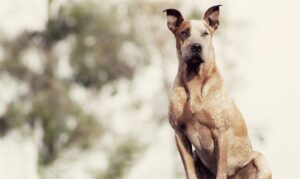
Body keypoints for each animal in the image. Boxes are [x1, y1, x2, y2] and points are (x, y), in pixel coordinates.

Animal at [164, 4, 272, 178]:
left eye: (205, 33)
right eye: (184, 32)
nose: (196, 47)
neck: (195, 81)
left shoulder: (220, 131)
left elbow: (221, 168)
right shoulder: (179, 134)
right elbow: (189, 170)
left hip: (260, 160)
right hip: (196, 156)